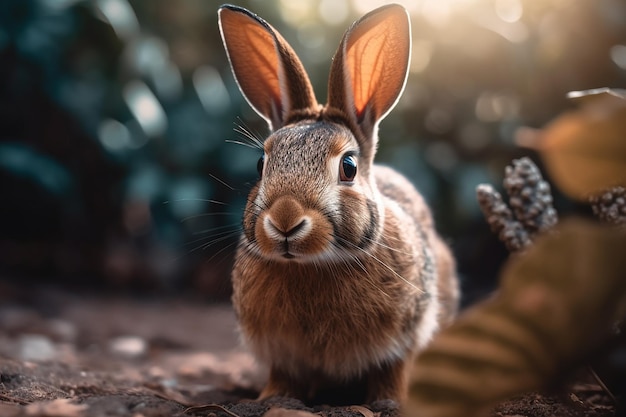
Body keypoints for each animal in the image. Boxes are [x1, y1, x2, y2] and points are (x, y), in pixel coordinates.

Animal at [218, 3, 458, 404]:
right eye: (261, 163)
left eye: (348, 167)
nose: (285, 219)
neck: (312, 266)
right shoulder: (279, 351)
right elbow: (282, 375)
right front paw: (270, 398)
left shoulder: (406, 337)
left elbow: (394, 372)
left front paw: (391, 402)